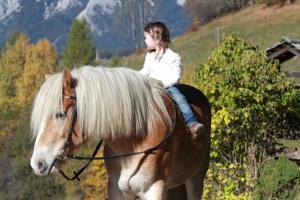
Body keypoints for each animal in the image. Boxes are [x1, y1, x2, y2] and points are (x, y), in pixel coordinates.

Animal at [29, 66, 210, 199]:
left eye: (60, 114)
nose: (37, 163)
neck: (134, 140)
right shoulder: (117, 190)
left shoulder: (152, 188)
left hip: (195, 178)